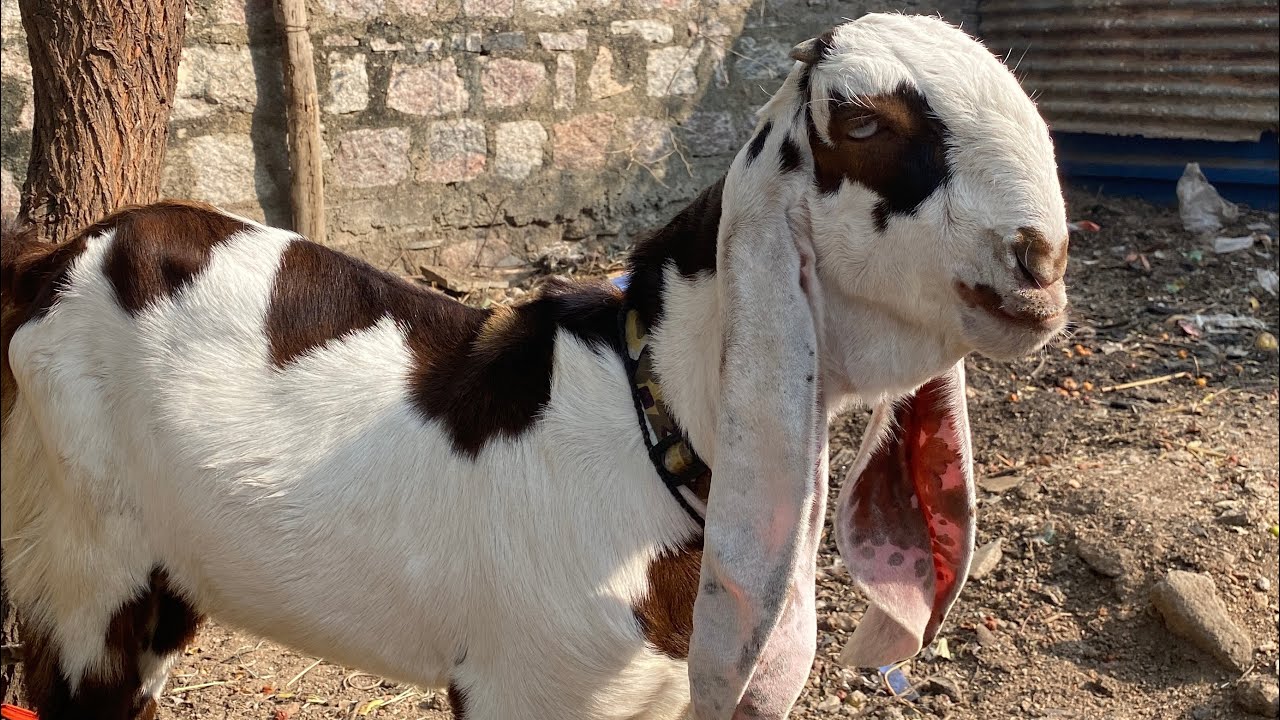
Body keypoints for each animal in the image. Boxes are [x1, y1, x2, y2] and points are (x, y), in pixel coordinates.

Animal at [1, 13, 1070, 720]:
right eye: (863, 122)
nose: (1043, 263)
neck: (646, 422)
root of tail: (52, 263)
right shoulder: (526, 685)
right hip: (90, 563)